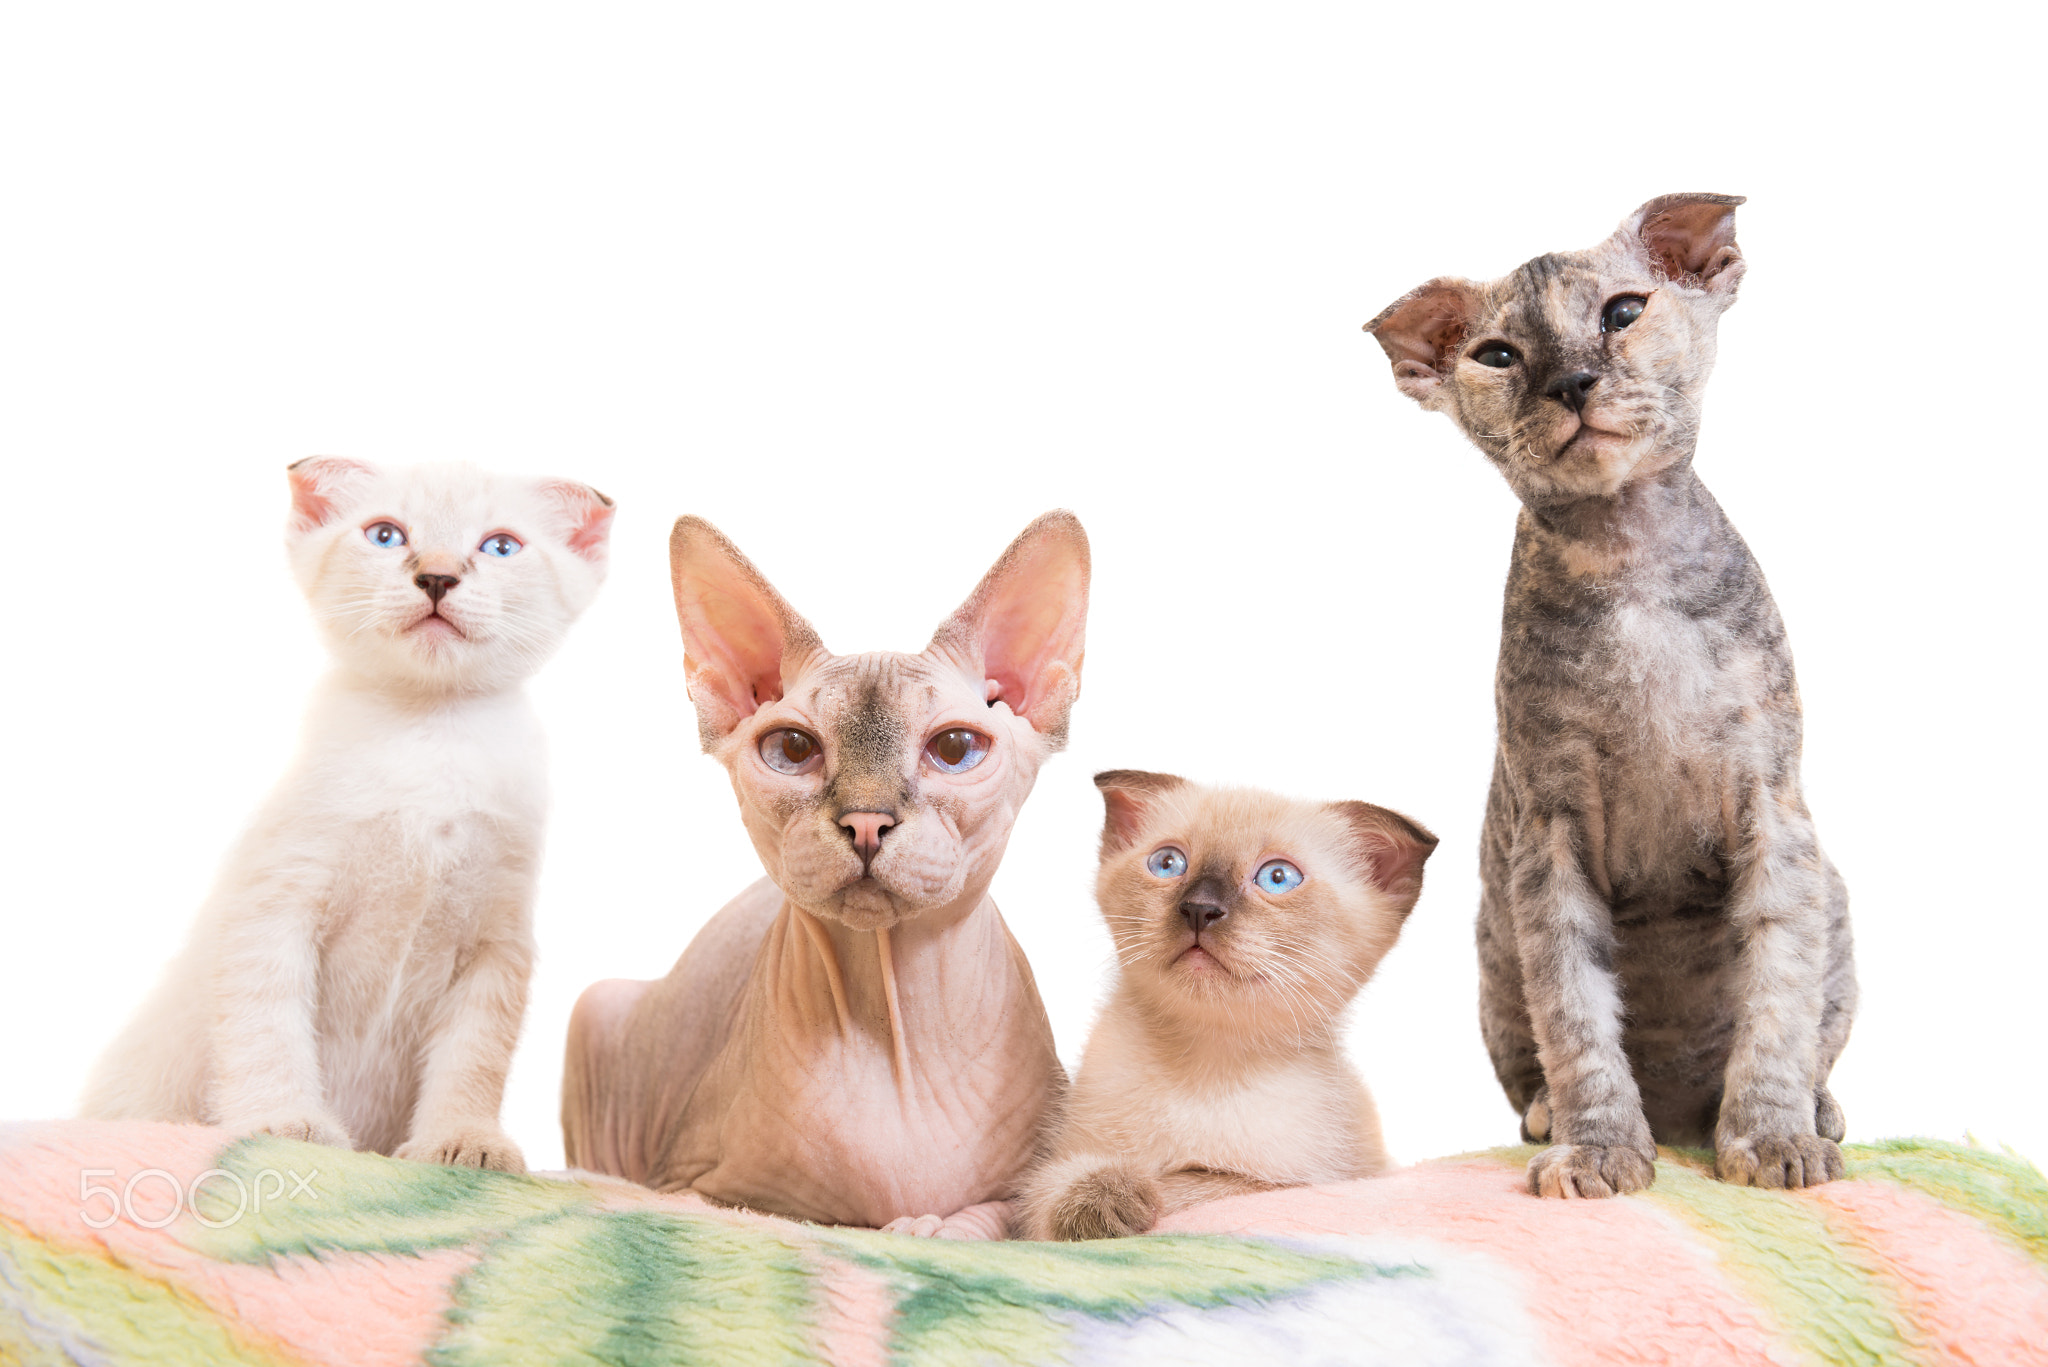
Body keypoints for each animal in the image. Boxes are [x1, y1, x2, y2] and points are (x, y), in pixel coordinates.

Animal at [81, 463, 606, 1180]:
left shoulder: (497, 946)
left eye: (501, 546)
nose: (437, 576)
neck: (430, 733)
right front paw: (286, 1124)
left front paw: (464, 1142)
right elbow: (269, 1027)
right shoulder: (275, 909)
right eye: (386, 535)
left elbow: (472, 1060)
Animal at [561, 512, 1089, 1237]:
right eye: (792, 749)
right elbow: (792, 1217)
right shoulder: (686, 1185)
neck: (891, 1032)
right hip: (596, 1008)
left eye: (955, 748)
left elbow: (994, 1214)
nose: (866, 822)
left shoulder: (1040, 1177)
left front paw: (926, 1225)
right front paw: (897, 1224)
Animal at [1024, 770, 1441, 1237]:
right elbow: (1054, 1184)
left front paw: (1130, 1198)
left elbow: (1186, 1183)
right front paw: (1100, 1203)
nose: (1199, 909)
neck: (1201, 1064)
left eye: (1277, 877)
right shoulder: (1060, 1157)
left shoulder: (1288, 1184)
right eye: (1168, 864)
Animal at [1376, 192, 1859, 1196]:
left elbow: (1778, 996)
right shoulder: (1547, 840)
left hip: (1835, 899)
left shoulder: (1775, 814)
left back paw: (1816, 1108)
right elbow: (1575, 1013)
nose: (1571, 382)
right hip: (1493, 943)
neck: (1624, 550)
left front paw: (1772, 1137)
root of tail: (1678, 1110)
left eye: (1625, 312)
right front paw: (1599, 1146)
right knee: (1532, 1060)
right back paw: (1554, 1113)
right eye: (1498, 356)